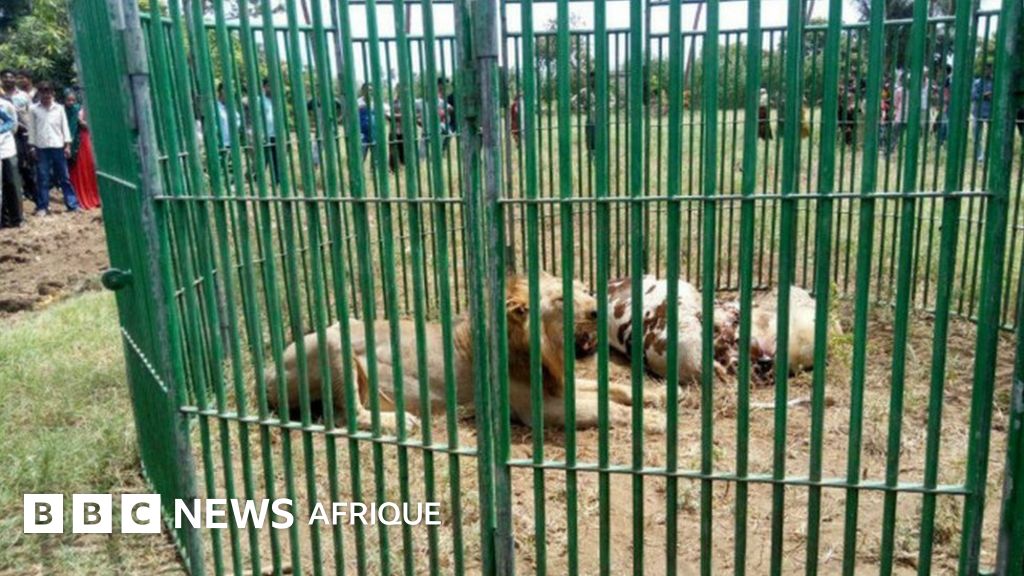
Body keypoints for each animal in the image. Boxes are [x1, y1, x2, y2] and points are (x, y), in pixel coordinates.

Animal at [265, 274, 661, 434]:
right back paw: (401, 422)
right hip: (333, 343)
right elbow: (606, 408)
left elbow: (611, 389)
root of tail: (266, 372)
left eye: (583, 288)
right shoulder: (535, 410)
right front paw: (656, 421)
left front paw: (652, 396)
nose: (596, 310)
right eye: (563, 299)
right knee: (349, 413)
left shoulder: (558, 384)